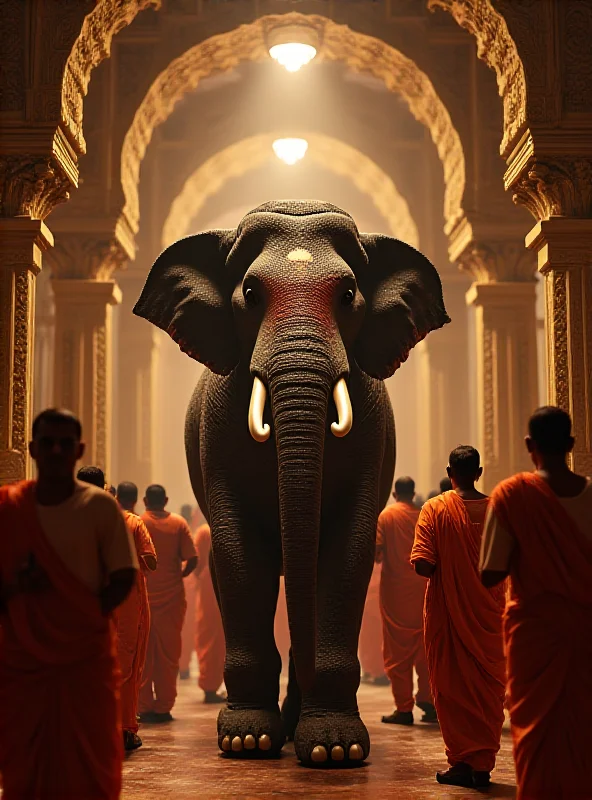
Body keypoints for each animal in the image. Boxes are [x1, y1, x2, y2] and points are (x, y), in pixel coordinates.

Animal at [134, 200, 448, 768]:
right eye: (250, 293)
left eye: (348, 294)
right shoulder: (217, 433)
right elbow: (237, 554)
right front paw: (247, 742)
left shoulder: (371, 438)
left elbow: (348, 549)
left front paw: (334, 750)